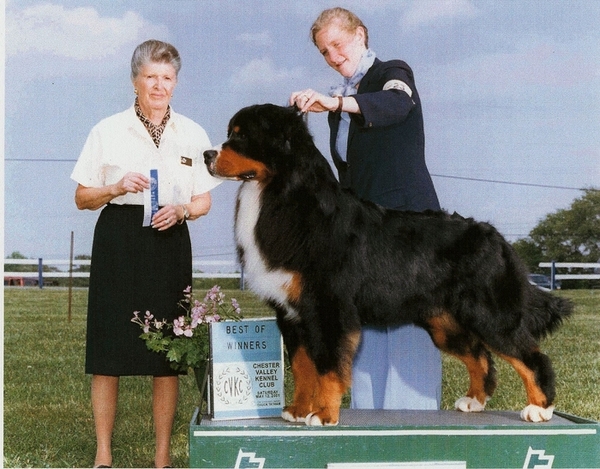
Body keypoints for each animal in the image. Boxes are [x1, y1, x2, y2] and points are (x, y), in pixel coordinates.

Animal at [204, 102, 576, 424]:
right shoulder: (292, 313)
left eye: (240, 136)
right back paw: (474, 400)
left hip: (489, 314)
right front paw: (297, 410)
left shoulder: (327, 307)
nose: (206, 155)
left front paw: (323, 415)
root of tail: (496, 236)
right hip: (445, 323)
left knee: (531, 356)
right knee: (480, 355)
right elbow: (303, 367)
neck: (283, 196)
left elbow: (327, 366)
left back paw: (540, 408)